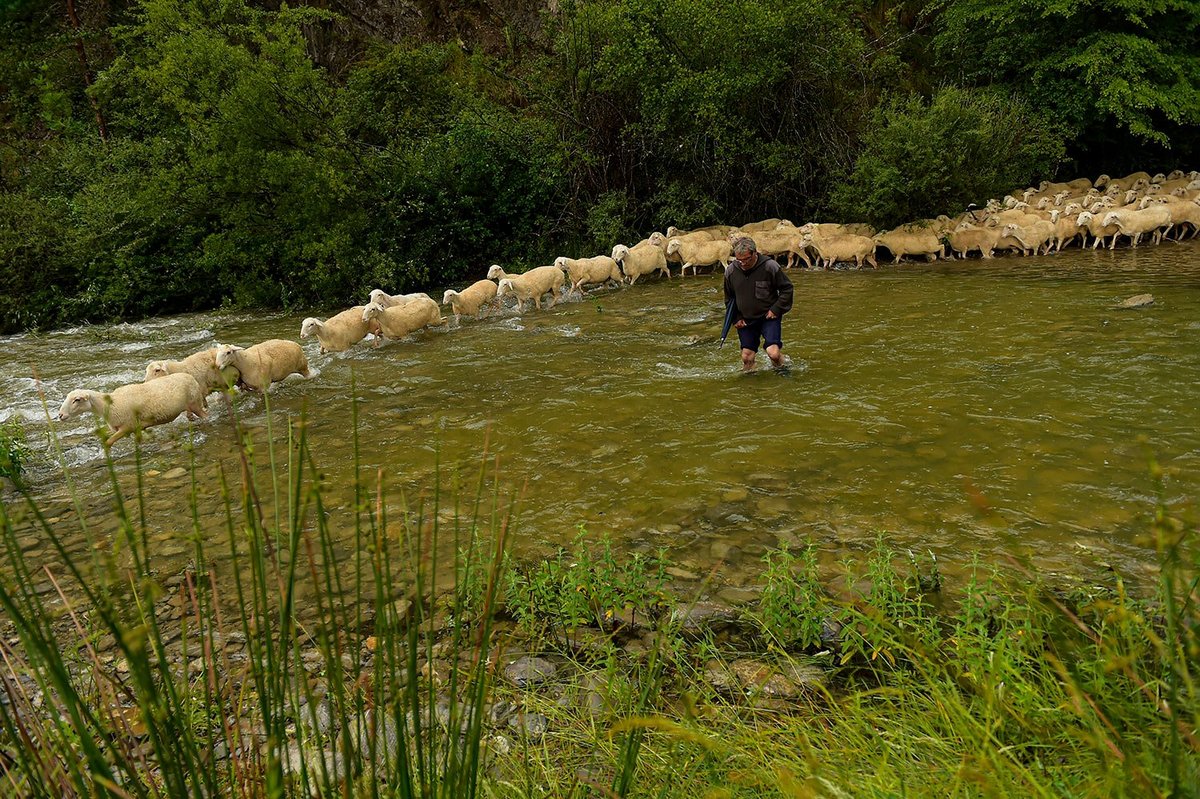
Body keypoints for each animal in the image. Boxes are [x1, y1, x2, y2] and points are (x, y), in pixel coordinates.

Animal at [56, 371, 206, 443]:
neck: (110, 405)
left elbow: (108, 442)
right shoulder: (135, 428)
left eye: (77, 400)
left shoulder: (127, 426)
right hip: (189, 407)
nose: (60, 415)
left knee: (205, 415)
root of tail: (190, 376)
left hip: (195, 403)